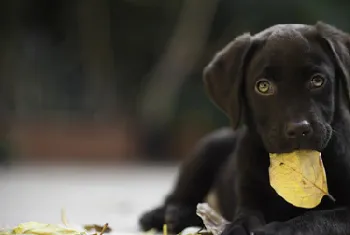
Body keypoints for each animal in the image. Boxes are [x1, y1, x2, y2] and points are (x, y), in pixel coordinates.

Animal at [138, 21, 350, 234]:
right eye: (263, 87)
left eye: (317, 81)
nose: (298, 129)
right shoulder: (249, 196)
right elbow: (244, 217)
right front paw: (237, 228)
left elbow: (318, 218)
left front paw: (279, 229)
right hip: (208, 147)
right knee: (177, 197)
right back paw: (165, 216)